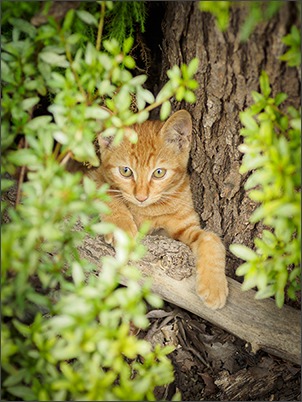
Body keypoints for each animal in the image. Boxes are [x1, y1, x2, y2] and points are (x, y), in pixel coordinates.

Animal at [86, 108, 228, 310]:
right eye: (125, 171)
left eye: (159, 173)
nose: (141, 197)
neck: (148, 209)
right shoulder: (90, 177)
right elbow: (107, 192)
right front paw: (121, 228)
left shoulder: (182, 228)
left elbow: (211, 238)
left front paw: (214, 286)